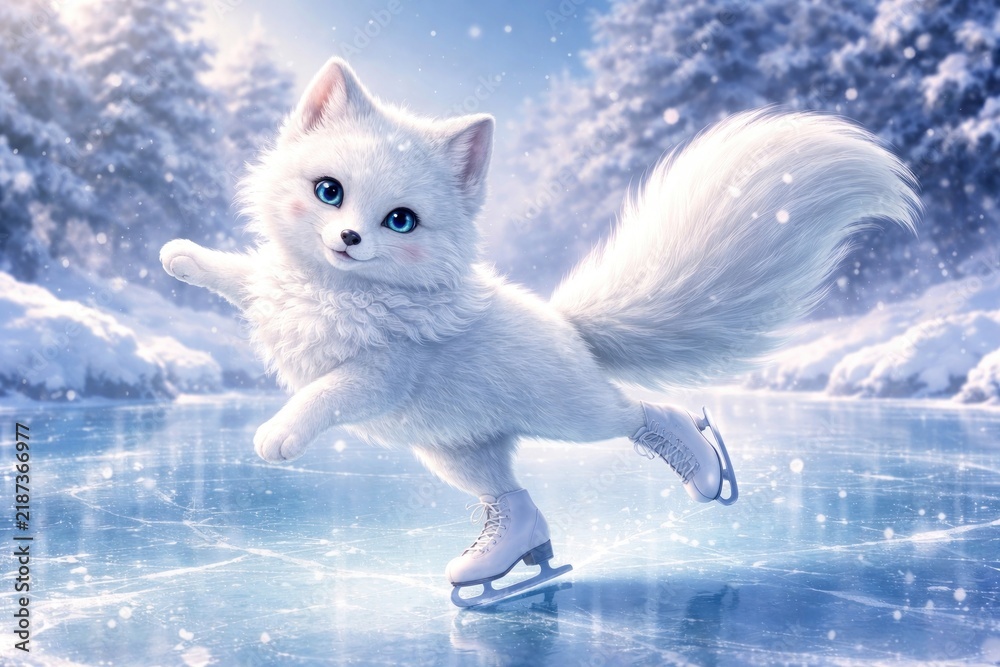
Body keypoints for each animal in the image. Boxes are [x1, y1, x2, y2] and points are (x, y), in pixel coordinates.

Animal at [160, 57, 919, 606]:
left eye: (399, 221)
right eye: (328, 191)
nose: (348, 239)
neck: (338, 290)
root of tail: (565, 323)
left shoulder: (381, 375)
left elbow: (325, 392)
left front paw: (278, 434)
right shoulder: (277, 294)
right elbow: (240, 275)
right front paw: (180, 256)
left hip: (569, 414)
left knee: (637, 412)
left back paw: (701, 462)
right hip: (451, 448)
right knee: (513, 500)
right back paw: (499, 565)